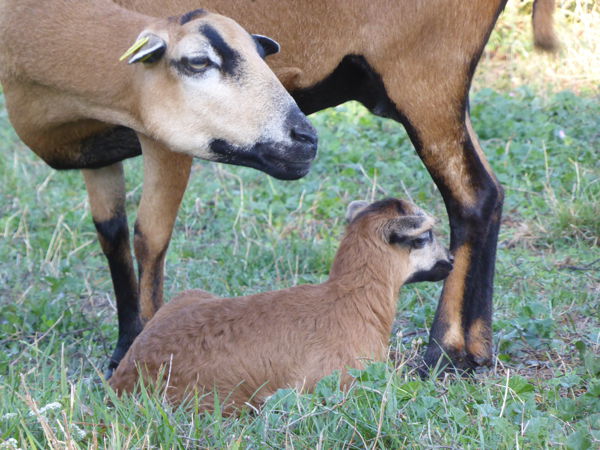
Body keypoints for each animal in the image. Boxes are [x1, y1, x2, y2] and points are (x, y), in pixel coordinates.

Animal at [0, 0, 318, 372]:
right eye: (198, 61)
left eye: (261, 54)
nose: (307, 139)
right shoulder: (95, 151)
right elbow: (112, 234)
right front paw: (123, 348)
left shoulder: (163, 139)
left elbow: (150, 239)